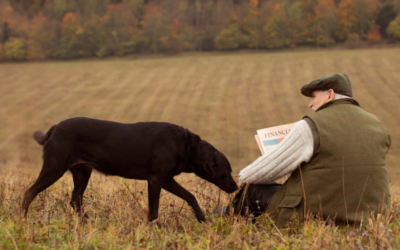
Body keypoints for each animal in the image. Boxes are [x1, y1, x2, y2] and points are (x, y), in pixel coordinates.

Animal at [22, 118, 238, 222]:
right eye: (226, 172)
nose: (236, 187)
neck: (186, 146)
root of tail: (54, 128)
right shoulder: (156, 180)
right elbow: (154, 209)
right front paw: (154, 226)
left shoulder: (167, 180)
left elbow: (190, 196)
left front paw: (202, 218)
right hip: (54, 168)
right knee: (29, 192)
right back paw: (23, 218)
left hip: (82, 172)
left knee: (75, 199)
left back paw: (88, 221)